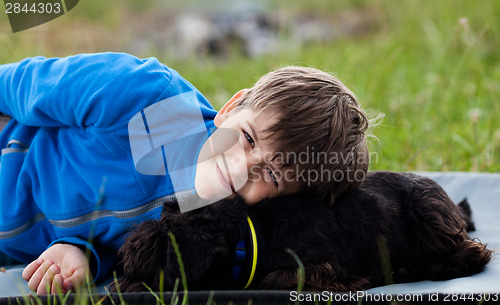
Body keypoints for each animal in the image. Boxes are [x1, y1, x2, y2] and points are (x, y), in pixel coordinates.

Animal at [111, 170, 490, 290]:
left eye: (157, 258)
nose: (119, 283)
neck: (248, 236)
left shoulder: (319, 264)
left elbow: (274, 279)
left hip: (428, 211)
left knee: (474, 251)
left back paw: (446, 264)